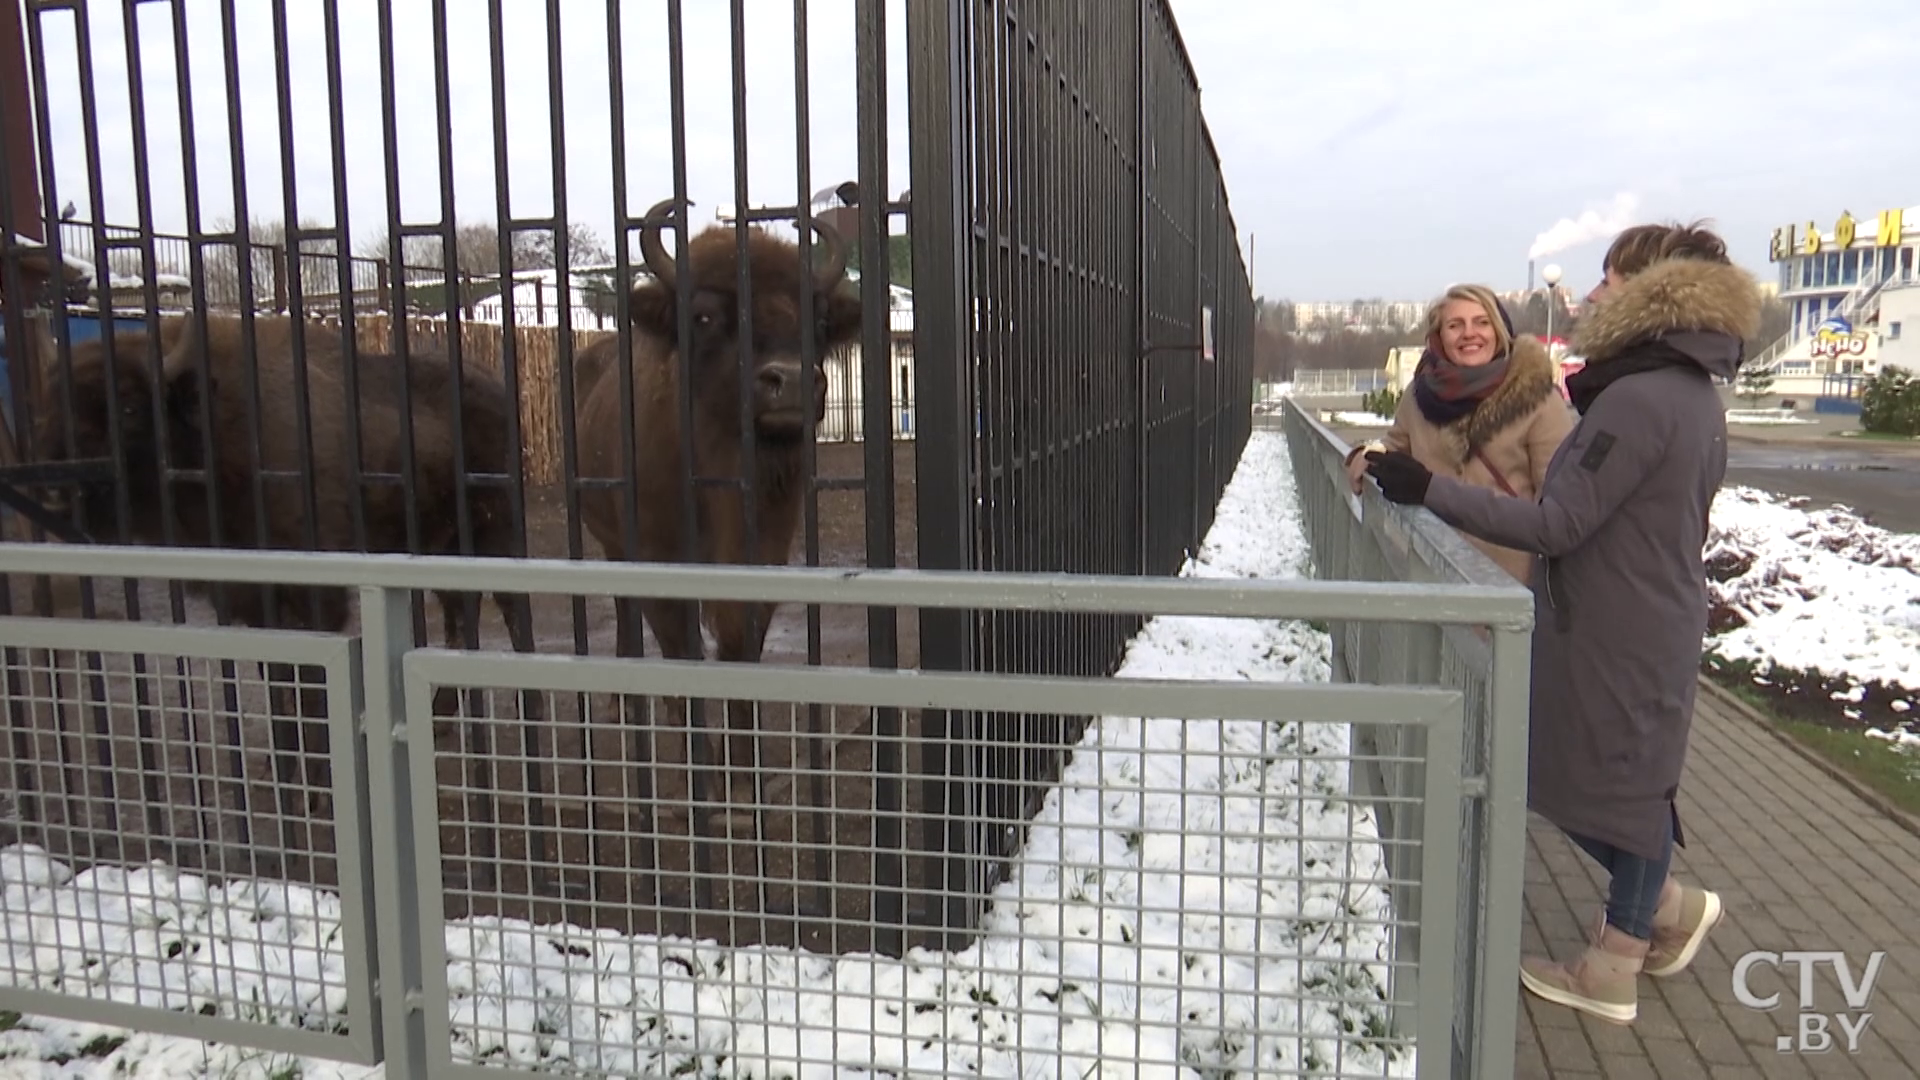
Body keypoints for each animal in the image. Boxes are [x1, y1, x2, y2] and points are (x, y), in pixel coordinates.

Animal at [572, 197, 860, 757]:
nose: (791, 380)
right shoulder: (659, 558)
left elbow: (738, 644)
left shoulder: (763, 554)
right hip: (611, 539)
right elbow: (683, 651)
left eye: (817, 317)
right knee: (623, 606)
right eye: (703, 315)